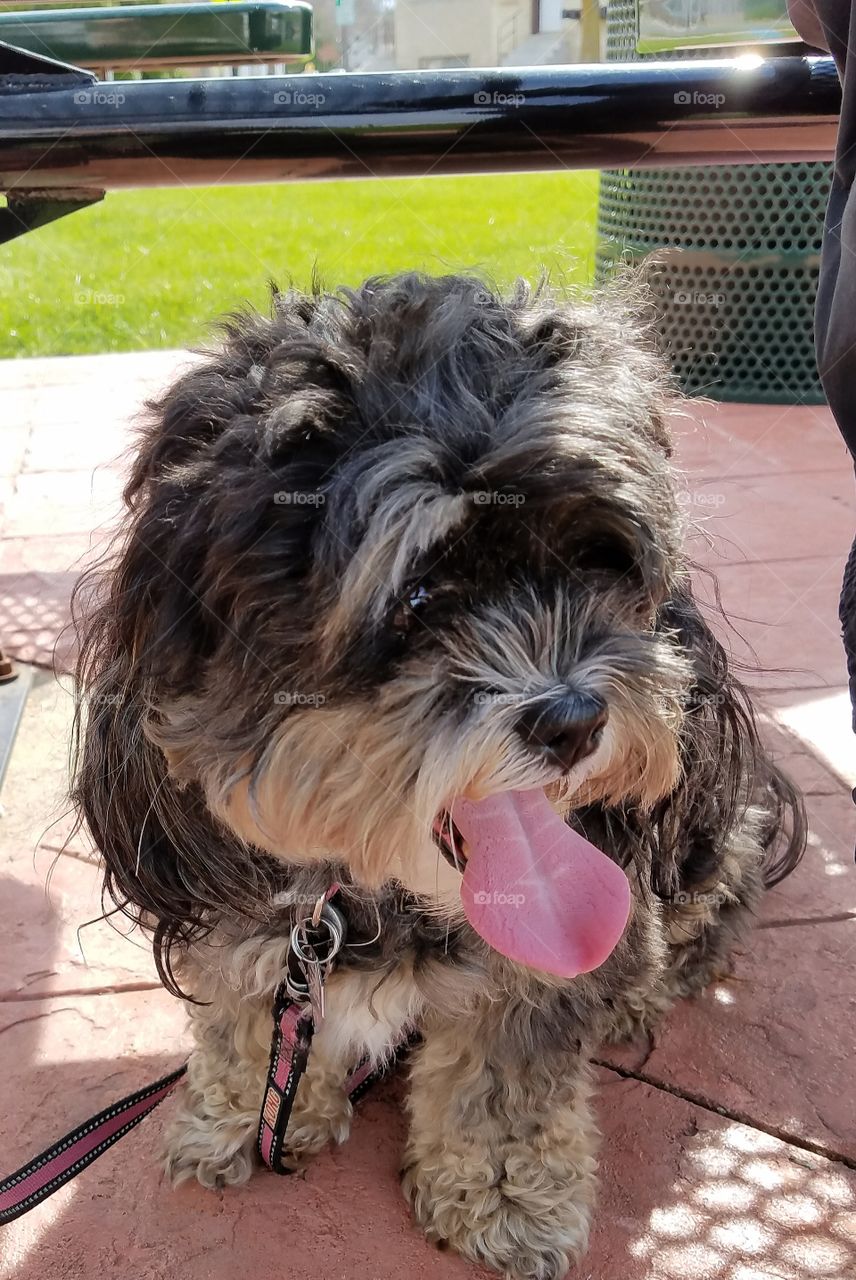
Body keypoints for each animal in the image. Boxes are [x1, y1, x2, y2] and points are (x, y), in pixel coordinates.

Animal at [71, 272, 803, 1280]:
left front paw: (502, 1201)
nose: (575, 719)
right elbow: (247, 1021)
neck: (373, 897)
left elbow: (501, 1090)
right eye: (415, 598)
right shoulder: (254, 934)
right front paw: (240, 1119)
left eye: (596, 562)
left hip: (716, 844)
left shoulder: (531, 980)